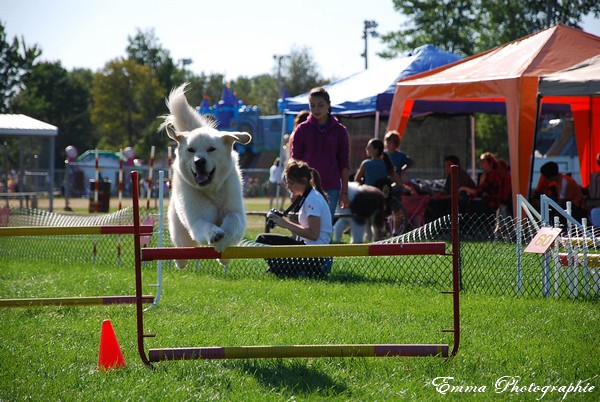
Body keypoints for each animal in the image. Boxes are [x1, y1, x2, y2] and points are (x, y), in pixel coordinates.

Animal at [159, 83, 251, 268]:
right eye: (191, 150)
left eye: (211, 149)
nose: (199, 161)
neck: (212, 191)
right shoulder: (197, 219)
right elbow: (205, 225)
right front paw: (215, 234)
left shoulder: (235, 212)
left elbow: (233, 220)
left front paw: (223, 240)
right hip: (180, 233)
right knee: (181, 248)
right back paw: (180, 260)